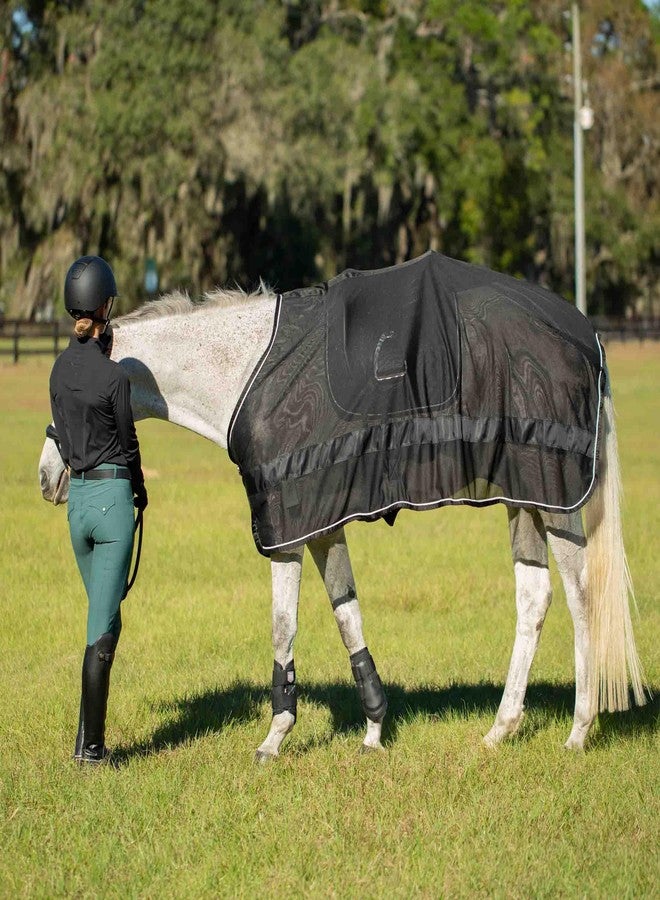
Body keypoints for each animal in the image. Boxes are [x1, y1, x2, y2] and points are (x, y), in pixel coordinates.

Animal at [38, 254, 647, 759]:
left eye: (62, 395)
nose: (46, 477)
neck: (246, 372)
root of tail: (585, 334)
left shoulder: (285, 530)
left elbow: (284, 626)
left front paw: (275, 738)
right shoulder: (321, 523)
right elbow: (346, 613)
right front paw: (374, 728)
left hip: (558, 499)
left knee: (581, 597)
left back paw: (578, 730)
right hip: (523, 497)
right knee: (534, 597)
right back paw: (501, 727)